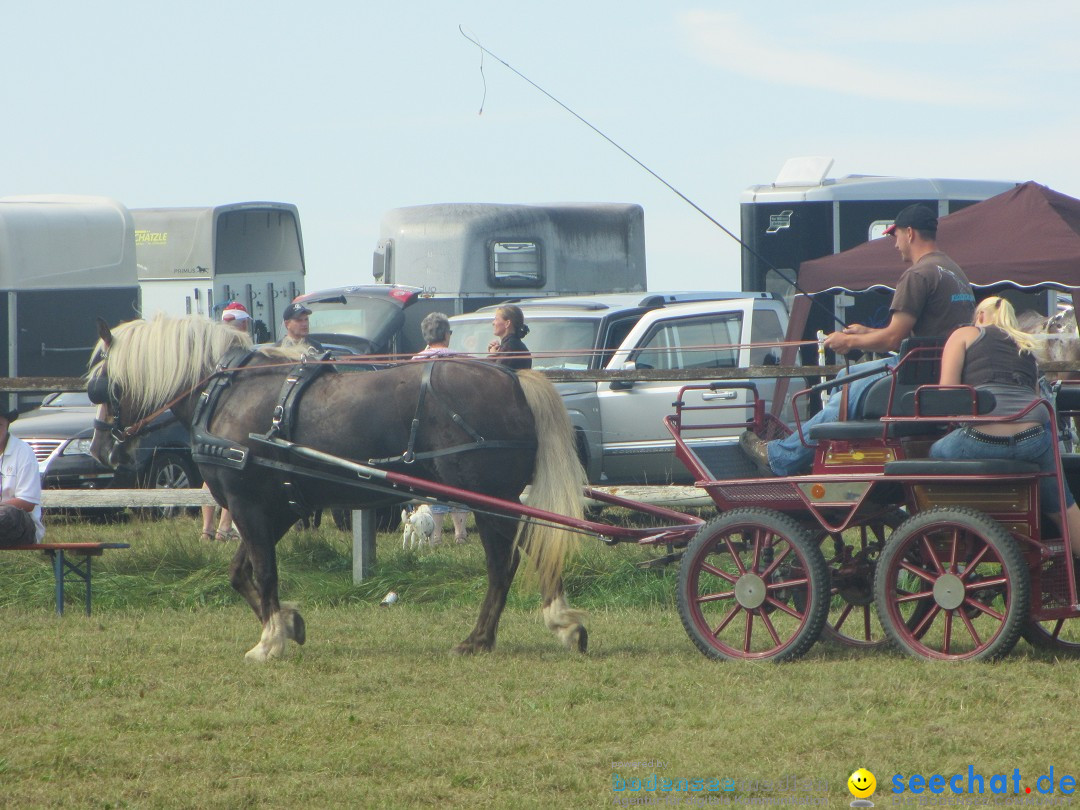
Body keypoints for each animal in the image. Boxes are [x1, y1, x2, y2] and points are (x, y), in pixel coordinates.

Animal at [87, 313, 587, 660]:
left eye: (104, 387)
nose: (101, 450)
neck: (226, 393)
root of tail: (513, 379)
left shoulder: (247, 504)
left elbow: (264, 573)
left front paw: (269, 642)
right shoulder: (279, 506)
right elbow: (240, 573)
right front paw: (289, 624)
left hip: (488, 500)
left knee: (506, 563)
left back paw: (493, 636)